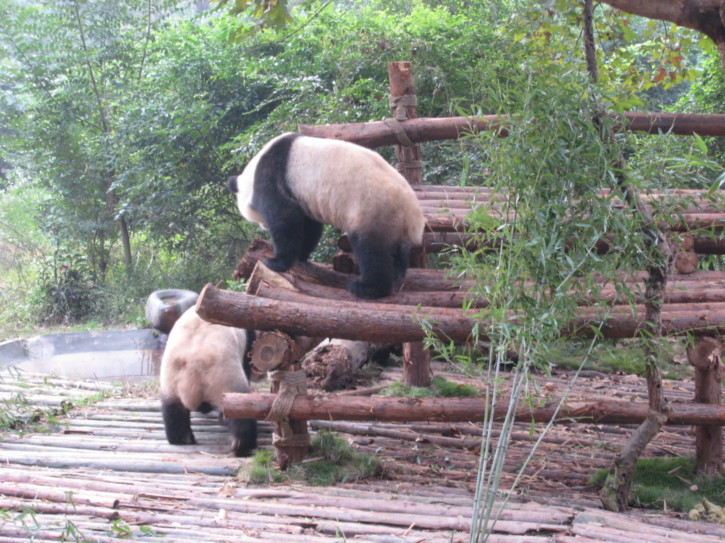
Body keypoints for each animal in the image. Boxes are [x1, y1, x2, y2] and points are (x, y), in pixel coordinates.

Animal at [159, 307, 258, 457]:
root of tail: (192, 367)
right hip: (223, 376)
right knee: (239, 406)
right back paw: (243, 444)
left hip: (171, 379)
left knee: (172, 410)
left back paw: (181, 438)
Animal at [227, 133, 426, 299]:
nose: (262, 226)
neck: (253, 172)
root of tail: (412, 211)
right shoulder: (302, 197)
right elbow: (309, 226)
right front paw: (300, 255)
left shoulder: (272, 179)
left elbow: (284, 220)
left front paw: (274, 261)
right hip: (393, 219)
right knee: (397, 249)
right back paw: (397, 272)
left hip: (373, 209)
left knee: (371, 251)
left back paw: (366, 288)